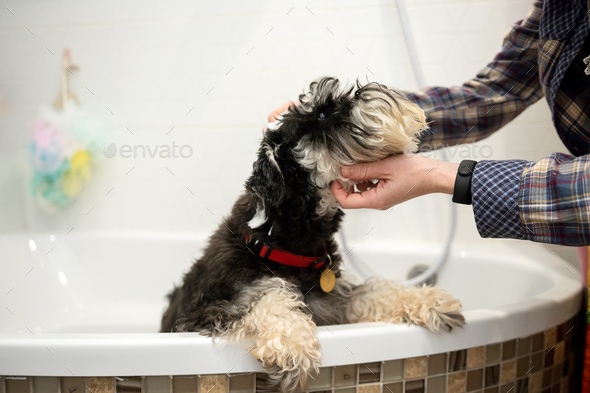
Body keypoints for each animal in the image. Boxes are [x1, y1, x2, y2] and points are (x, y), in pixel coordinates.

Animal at [162, 77, 468, 392]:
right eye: (321, 114)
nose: (378, 89)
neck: (287, 241)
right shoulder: (202, 313)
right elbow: (265, 298)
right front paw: (291, 346)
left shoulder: (335, 302)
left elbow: (375, 290)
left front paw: (431, 302)